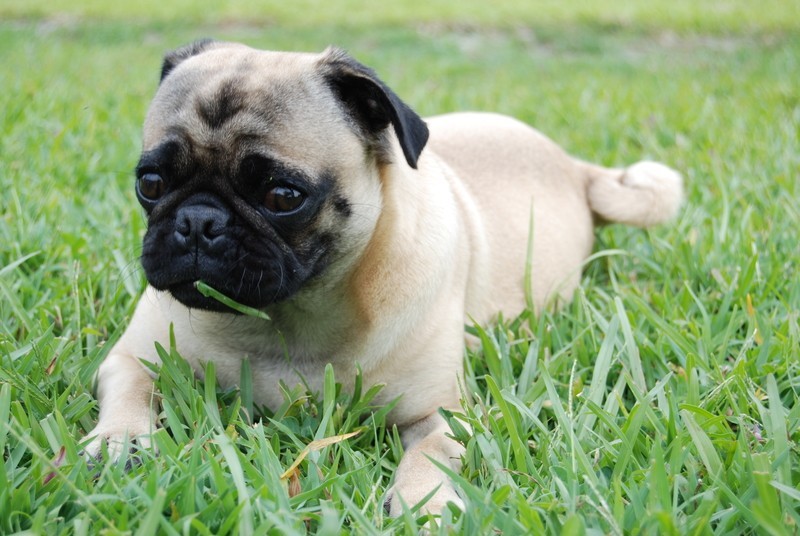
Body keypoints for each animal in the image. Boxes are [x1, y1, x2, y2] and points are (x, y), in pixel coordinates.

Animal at [86, 39, 680, 516]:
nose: (197, 222)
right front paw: (118, 442)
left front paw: (423, 502)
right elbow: (130, 394)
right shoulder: (133, 358)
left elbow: (431, 456)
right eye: (151, 183)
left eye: (282, 196)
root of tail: (576, 168)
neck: (288, 318)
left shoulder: (442, 414)